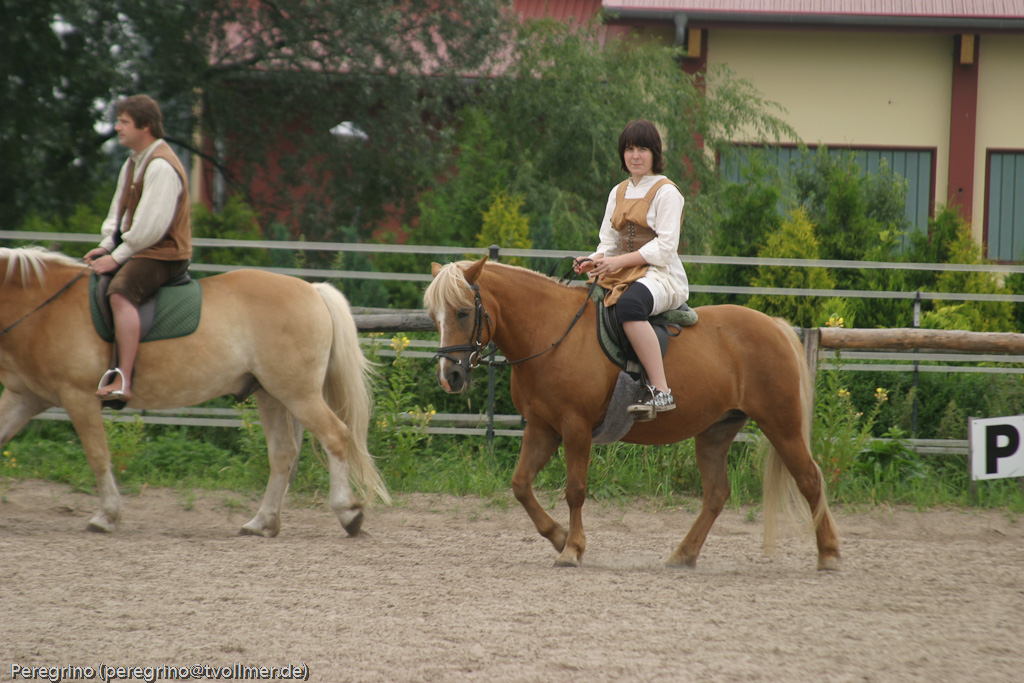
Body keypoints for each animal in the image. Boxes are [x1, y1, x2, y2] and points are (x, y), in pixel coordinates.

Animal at [0, 247, 389, 535]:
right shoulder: (24, 397)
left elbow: (97, 455)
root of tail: (312, 289)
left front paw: (107, 515)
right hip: (270, 394)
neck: (43, 306)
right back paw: (262, 522)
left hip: (298, 394)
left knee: (335, 437)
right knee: (283, 455)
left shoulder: (77, 396)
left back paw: (347, 514)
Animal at [424, 257, 839, 570]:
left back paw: (829, 554)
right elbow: (521, 485)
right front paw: (559, 536)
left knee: (810, 478)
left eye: (463, 312)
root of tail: (775, 325)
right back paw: (682, 555)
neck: (550, 332)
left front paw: (572, 549)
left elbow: (575, 490)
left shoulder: (575, 428)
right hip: (716, 430)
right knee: (717, 493)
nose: (450, 377)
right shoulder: (543, 428)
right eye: (434, 315)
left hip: (781, 424)